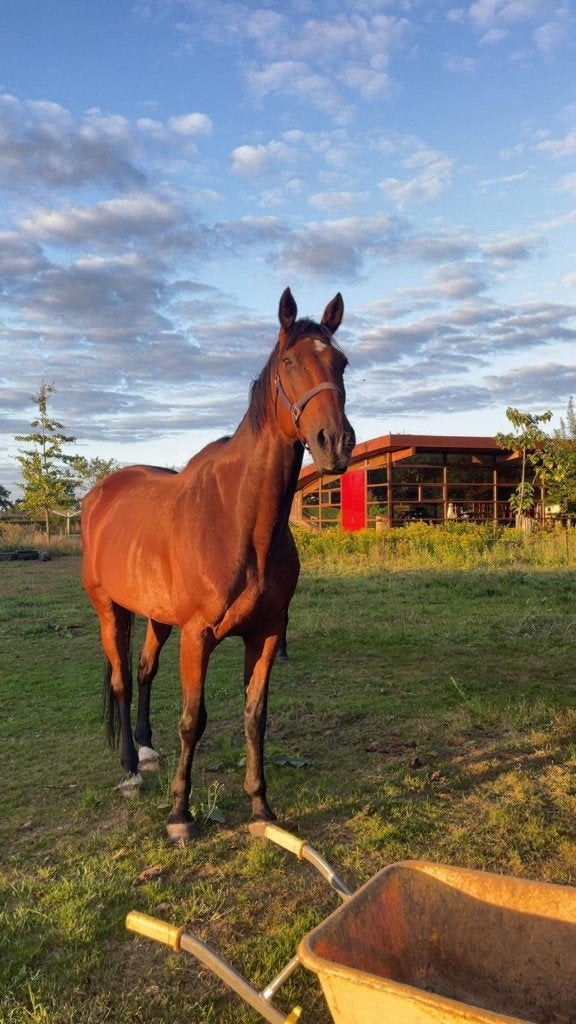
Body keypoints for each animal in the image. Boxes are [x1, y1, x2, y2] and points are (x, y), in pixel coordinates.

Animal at [81, 288, 355, 844]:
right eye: (289, 362)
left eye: (341, 363)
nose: (336, 444)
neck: (238, 521)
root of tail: (100, 495)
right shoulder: (198, 635)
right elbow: (193, 720)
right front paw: (179, 816)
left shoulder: (266, 633)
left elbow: (255, 716)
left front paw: (261, 806)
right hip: (110, 610)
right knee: (121, 681)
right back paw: (128, 767)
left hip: (157, 617)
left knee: (143, 671)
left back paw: (146, 751)